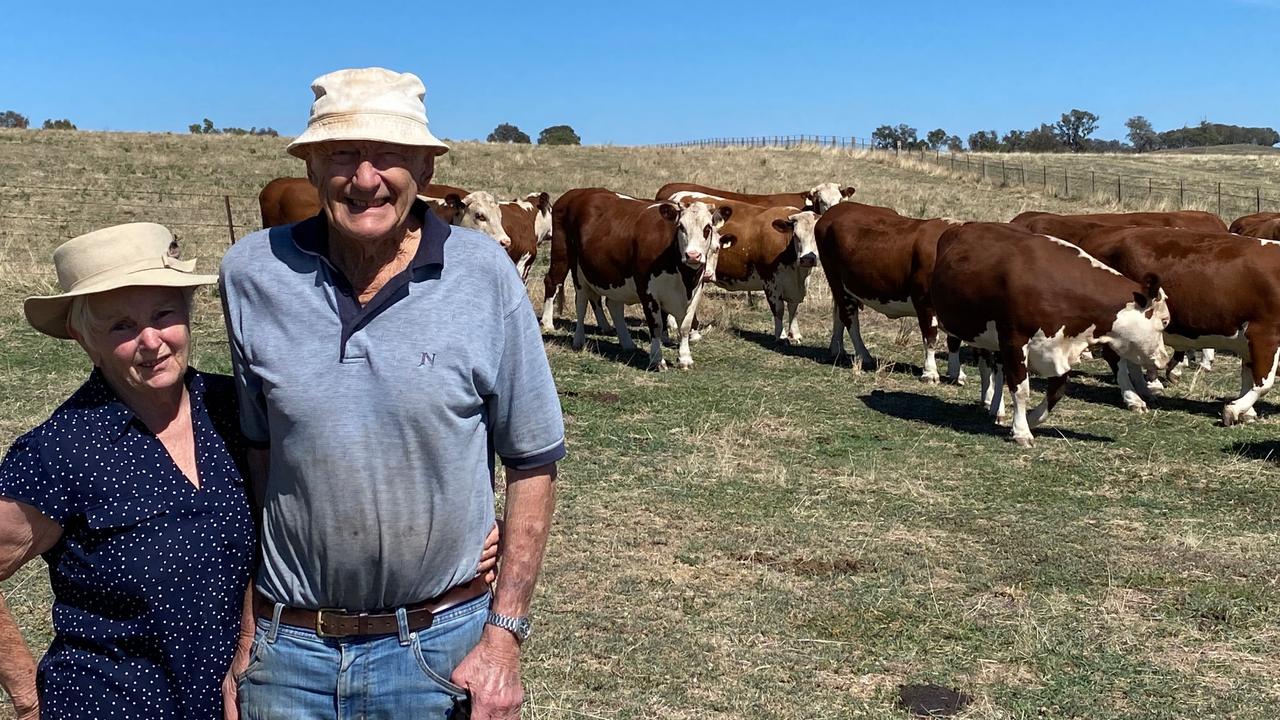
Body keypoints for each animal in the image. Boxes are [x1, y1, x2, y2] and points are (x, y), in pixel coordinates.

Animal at [558, 188, 732, 366]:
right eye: (681, 226)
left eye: (707, 228)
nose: (693, 255)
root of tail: (584, 193)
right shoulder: (648, 292)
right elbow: (656, 325)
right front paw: (657, 359)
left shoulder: (696, 291)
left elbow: (685, 326)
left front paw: (685, 358)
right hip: (577, 272)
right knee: (581, 303)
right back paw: (579, 341)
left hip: (616, 277)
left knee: (614, 306)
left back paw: (627, 343)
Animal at [814, 198, 962, 384]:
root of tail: (835, 210)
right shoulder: (924, 302)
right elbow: (931, 336)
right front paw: (930, 372)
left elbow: (954, 340)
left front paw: (956, 373)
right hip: (837, 281)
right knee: (850, 319)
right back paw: (864, 355)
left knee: (839, 314)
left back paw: (837, 349)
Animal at [931, 221, 1172, 445]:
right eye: (1165, 321)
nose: (1163, 358)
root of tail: (962, 226)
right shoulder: (1014, 341)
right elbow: (1020, 388)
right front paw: (1021, 431)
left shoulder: (1056, 350)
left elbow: (1057, 390)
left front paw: (1031, 420)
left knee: (998, 372)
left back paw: (997, 409)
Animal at [1008, 219, 1280, 420]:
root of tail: (1099, 235)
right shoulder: (1264, 334)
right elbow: (1263, 382)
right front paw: (1235, 409)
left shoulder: (1249, 339)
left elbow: (1248, 375)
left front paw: (1246, 410)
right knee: (1116, 358)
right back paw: (1133, 397)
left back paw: (1143, 388)